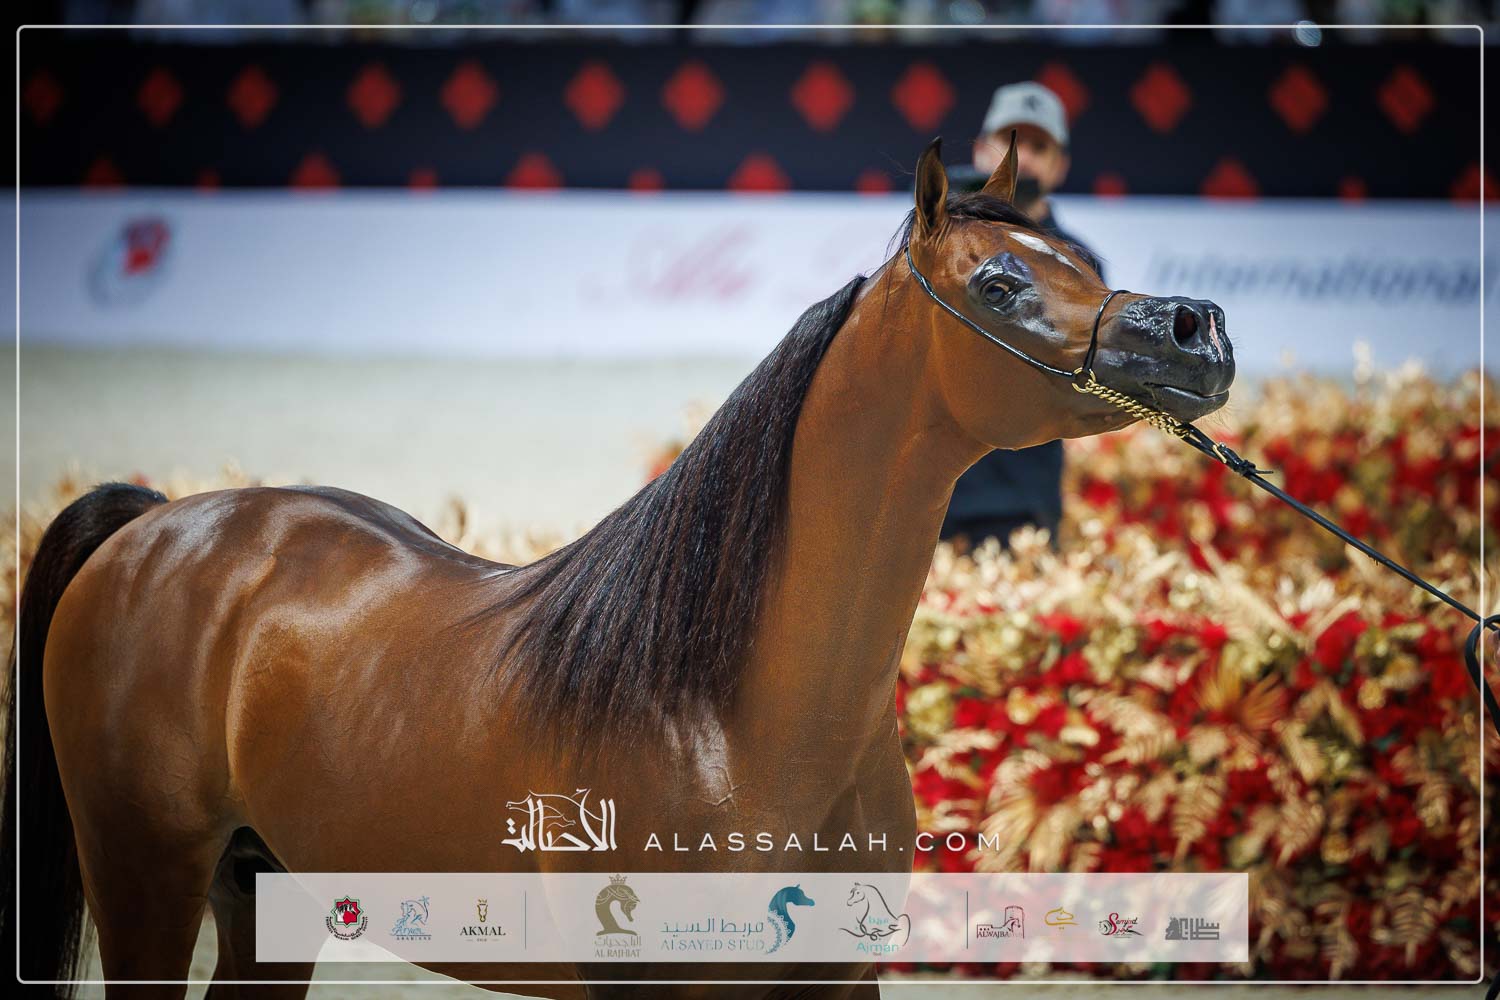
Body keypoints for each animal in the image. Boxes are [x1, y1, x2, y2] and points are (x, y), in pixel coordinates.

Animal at [2, 135, 1233, 998]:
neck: (734, 712)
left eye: (1077, 258)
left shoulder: (836, 977)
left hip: (265, 891)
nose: (1196, 329)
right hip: (145, 876)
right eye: (999, 284)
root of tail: (157, 526)